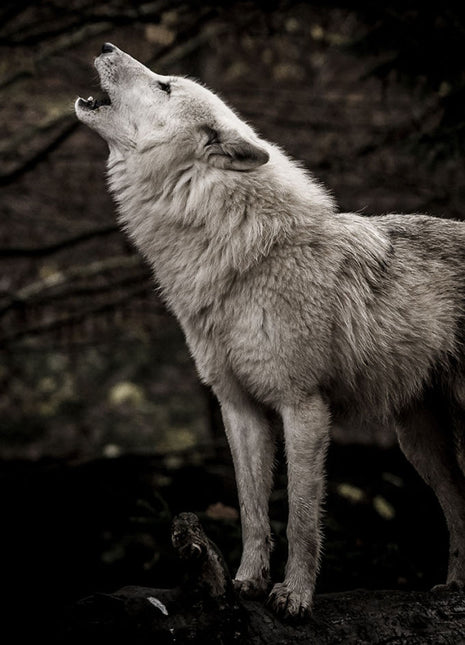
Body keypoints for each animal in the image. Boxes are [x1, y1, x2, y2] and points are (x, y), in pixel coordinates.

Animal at [75, 43, 465, 618]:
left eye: (165, 85)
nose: (105, 46)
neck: (242, 256)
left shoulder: (303, 407)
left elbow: (301, 516)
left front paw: (295, 596)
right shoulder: (238, 408)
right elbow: (252, 510)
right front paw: (245, 584)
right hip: (417, 442)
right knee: (459, 504)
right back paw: (455, 586)